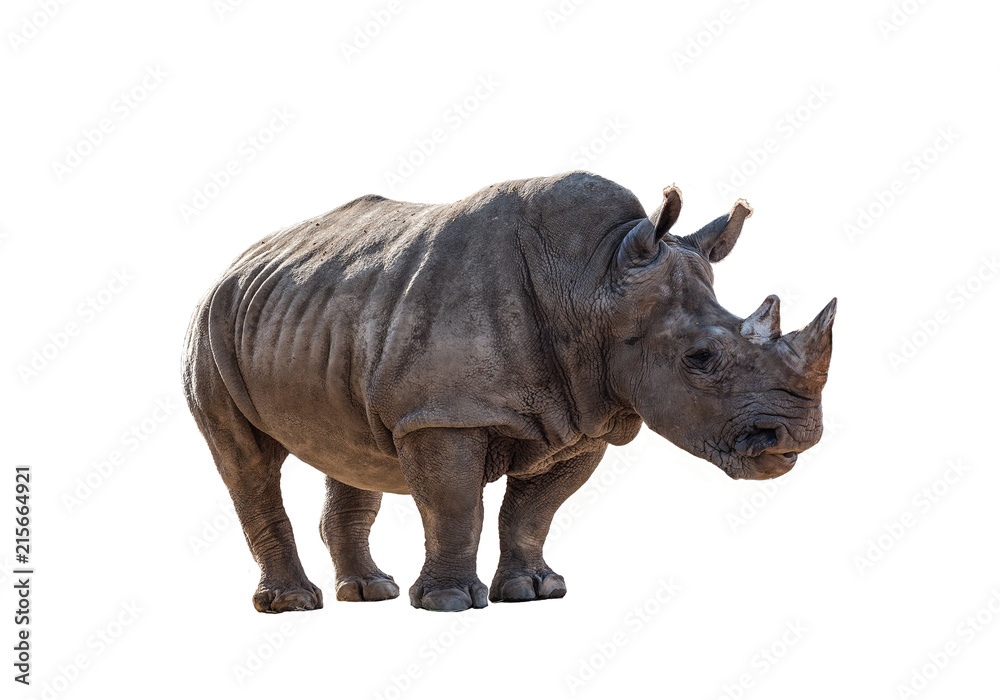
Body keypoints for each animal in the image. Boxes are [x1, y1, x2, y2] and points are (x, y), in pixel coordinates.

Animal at [182, 171, 835, 613]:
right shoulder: (443, 414)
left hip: (322, 313)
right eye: (699, 359)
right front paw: (448, 603)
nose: (797, 435)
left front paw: (536, 590)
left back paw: (370, 592)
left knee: (351, 447)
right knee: (247, 462)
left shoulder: (583, 416)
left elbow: (534, 511)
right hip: (212, 322)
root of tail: (237, 259)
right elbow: (454, 506)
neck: (594, 280)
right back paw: (294, 603)